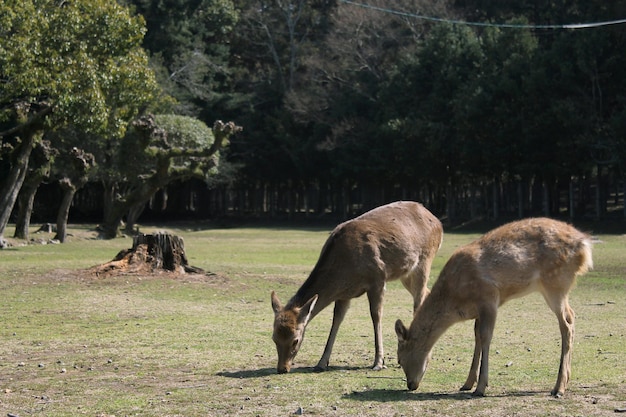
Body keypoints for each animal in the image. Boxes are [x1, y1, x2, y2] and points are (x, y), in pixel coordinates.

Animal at [270, 200, 442, 372]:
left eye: (295, 340)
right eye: (274, 338)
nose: (282, 368)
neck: (344, 269)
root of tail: (436, 221)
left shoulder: (378, 278)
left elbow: (376, 315)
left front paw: (379, 362)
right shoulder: (344, 294)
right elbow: (336, 320)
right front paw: (321, 363)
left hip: (424, 260)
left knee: (418, 300)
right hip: (405, 274)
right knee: (426, 293)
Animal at [392, 218, 592, 396]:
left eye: (400, 359)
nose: (410, 385)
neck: (456, 301)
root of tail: (585, 245)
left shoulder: (489, 297)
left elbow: (485, 336)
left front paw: (480, 387)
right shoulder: (478, 311)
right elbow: (476, 337)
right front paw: (467, 383)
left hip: (555, 284)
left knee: (566, 325)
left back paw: (558, 388)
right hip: (560, 288)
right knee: (572, 315)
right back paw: (566, 380)